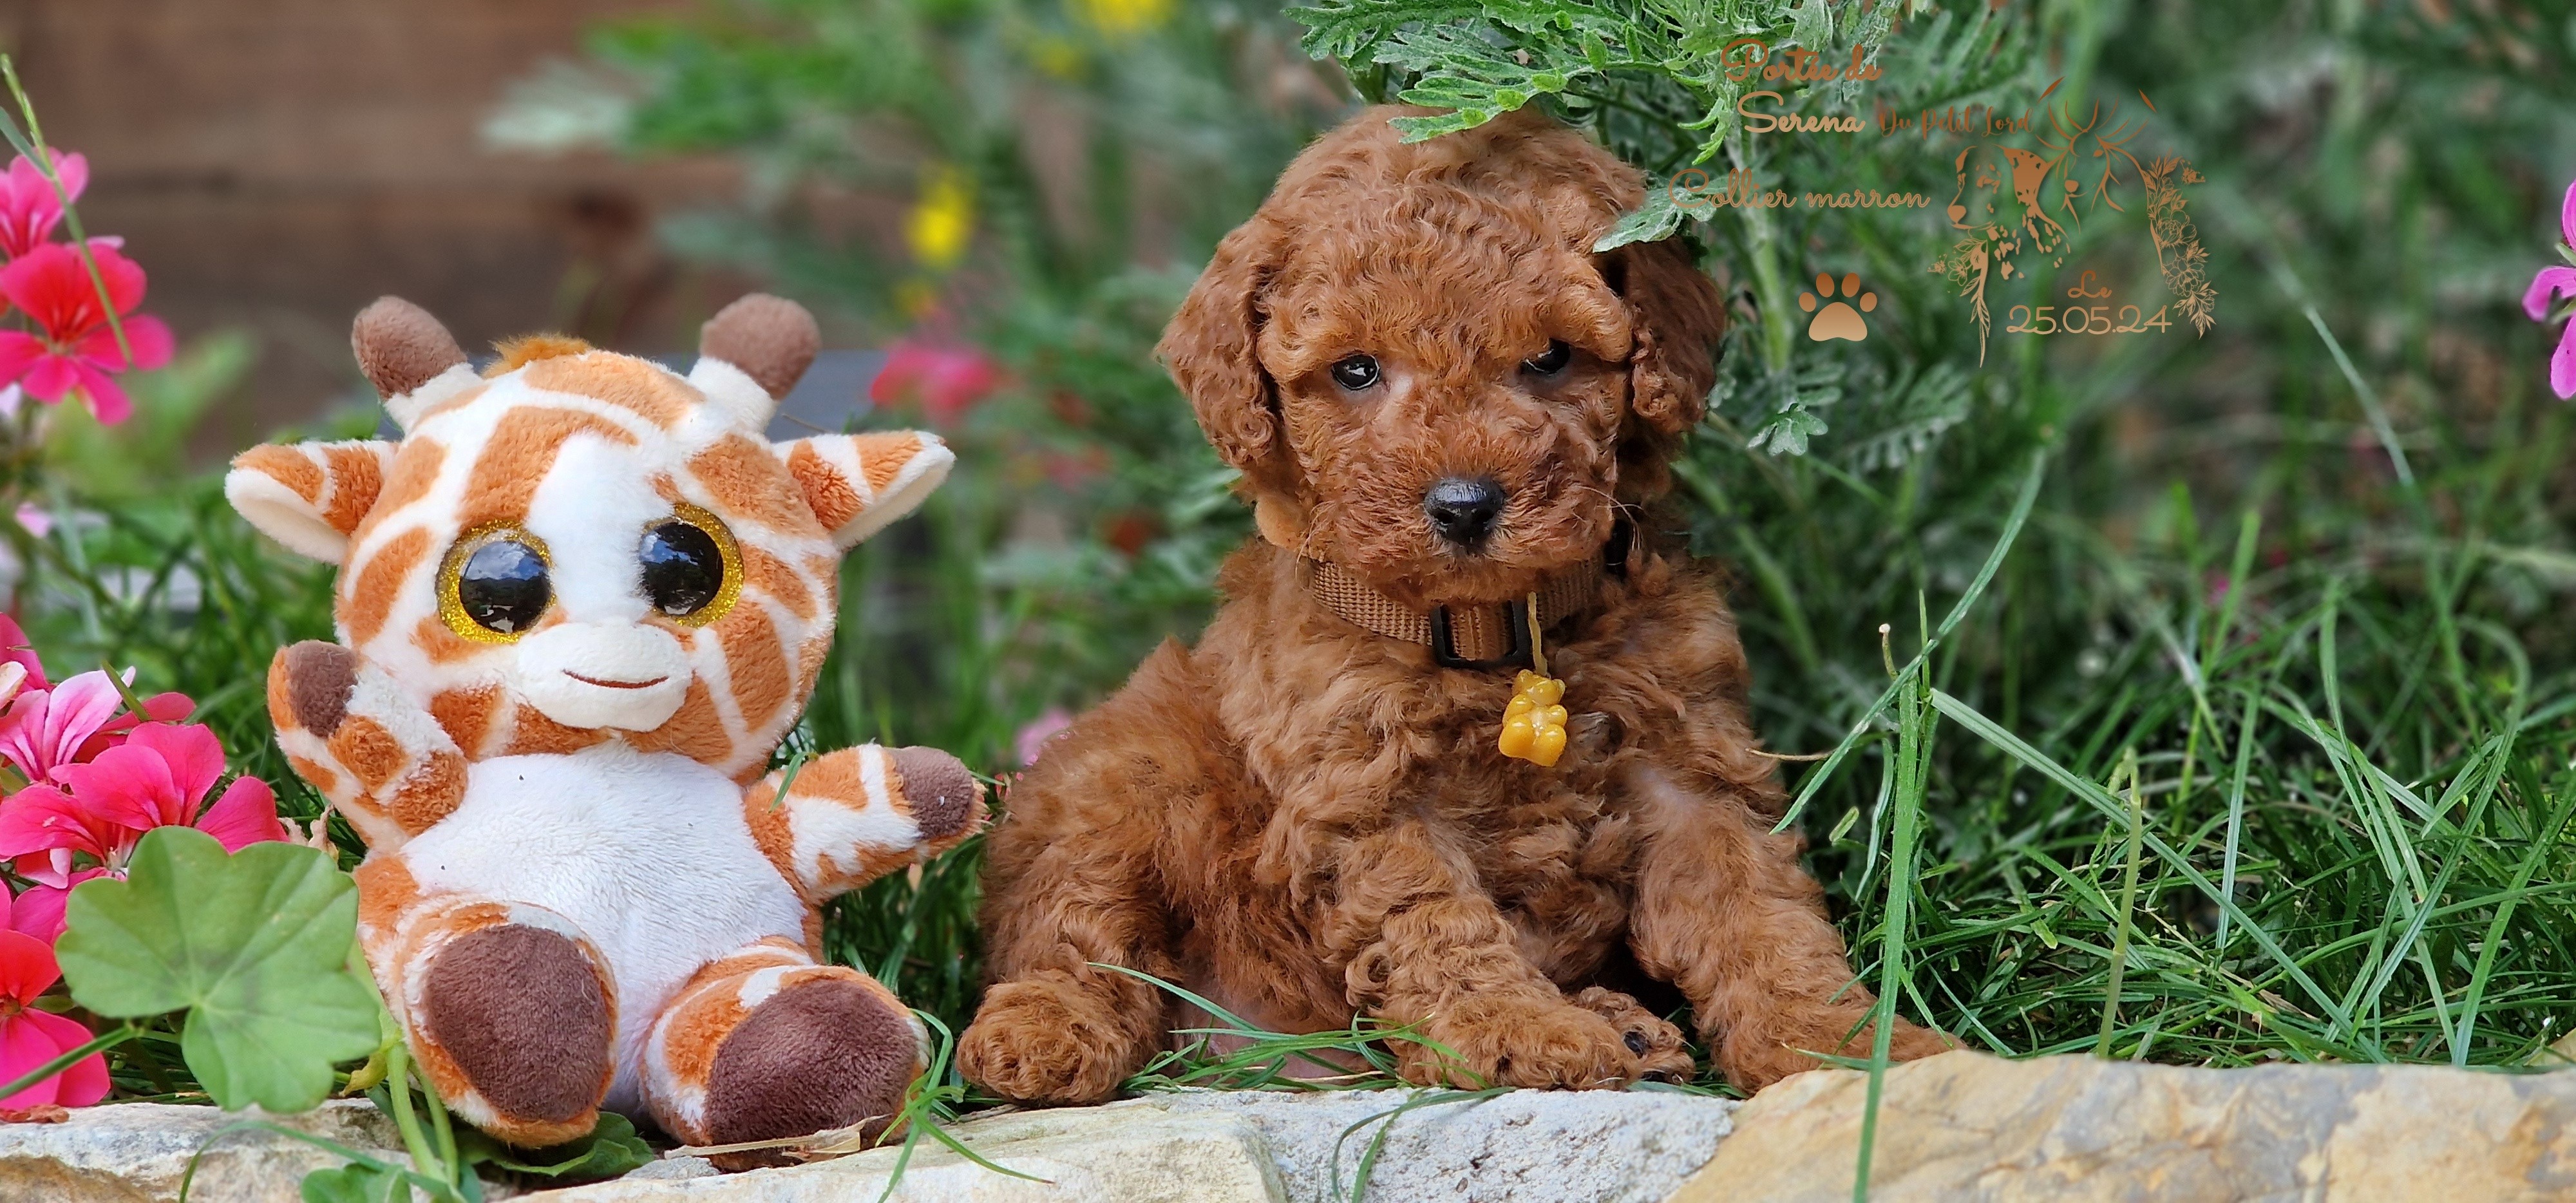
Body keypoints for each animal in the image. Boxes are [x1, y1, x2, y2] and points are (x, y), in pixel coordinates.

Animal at [969, 108, 1947, 1108]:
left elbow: (1759, 917)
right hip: (1118, 776)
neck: (1495, 637)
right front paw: (1516, 1033)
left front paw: (1845, 1047)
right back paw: (1042, 1034)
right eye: (1357, 370)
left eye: (1550, 357)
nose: (1465, 505)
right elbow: (1434, 922)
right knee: (1077, 931)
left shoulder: (1686, 763)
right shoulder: (1365, 795)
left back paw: (1630, 1028)